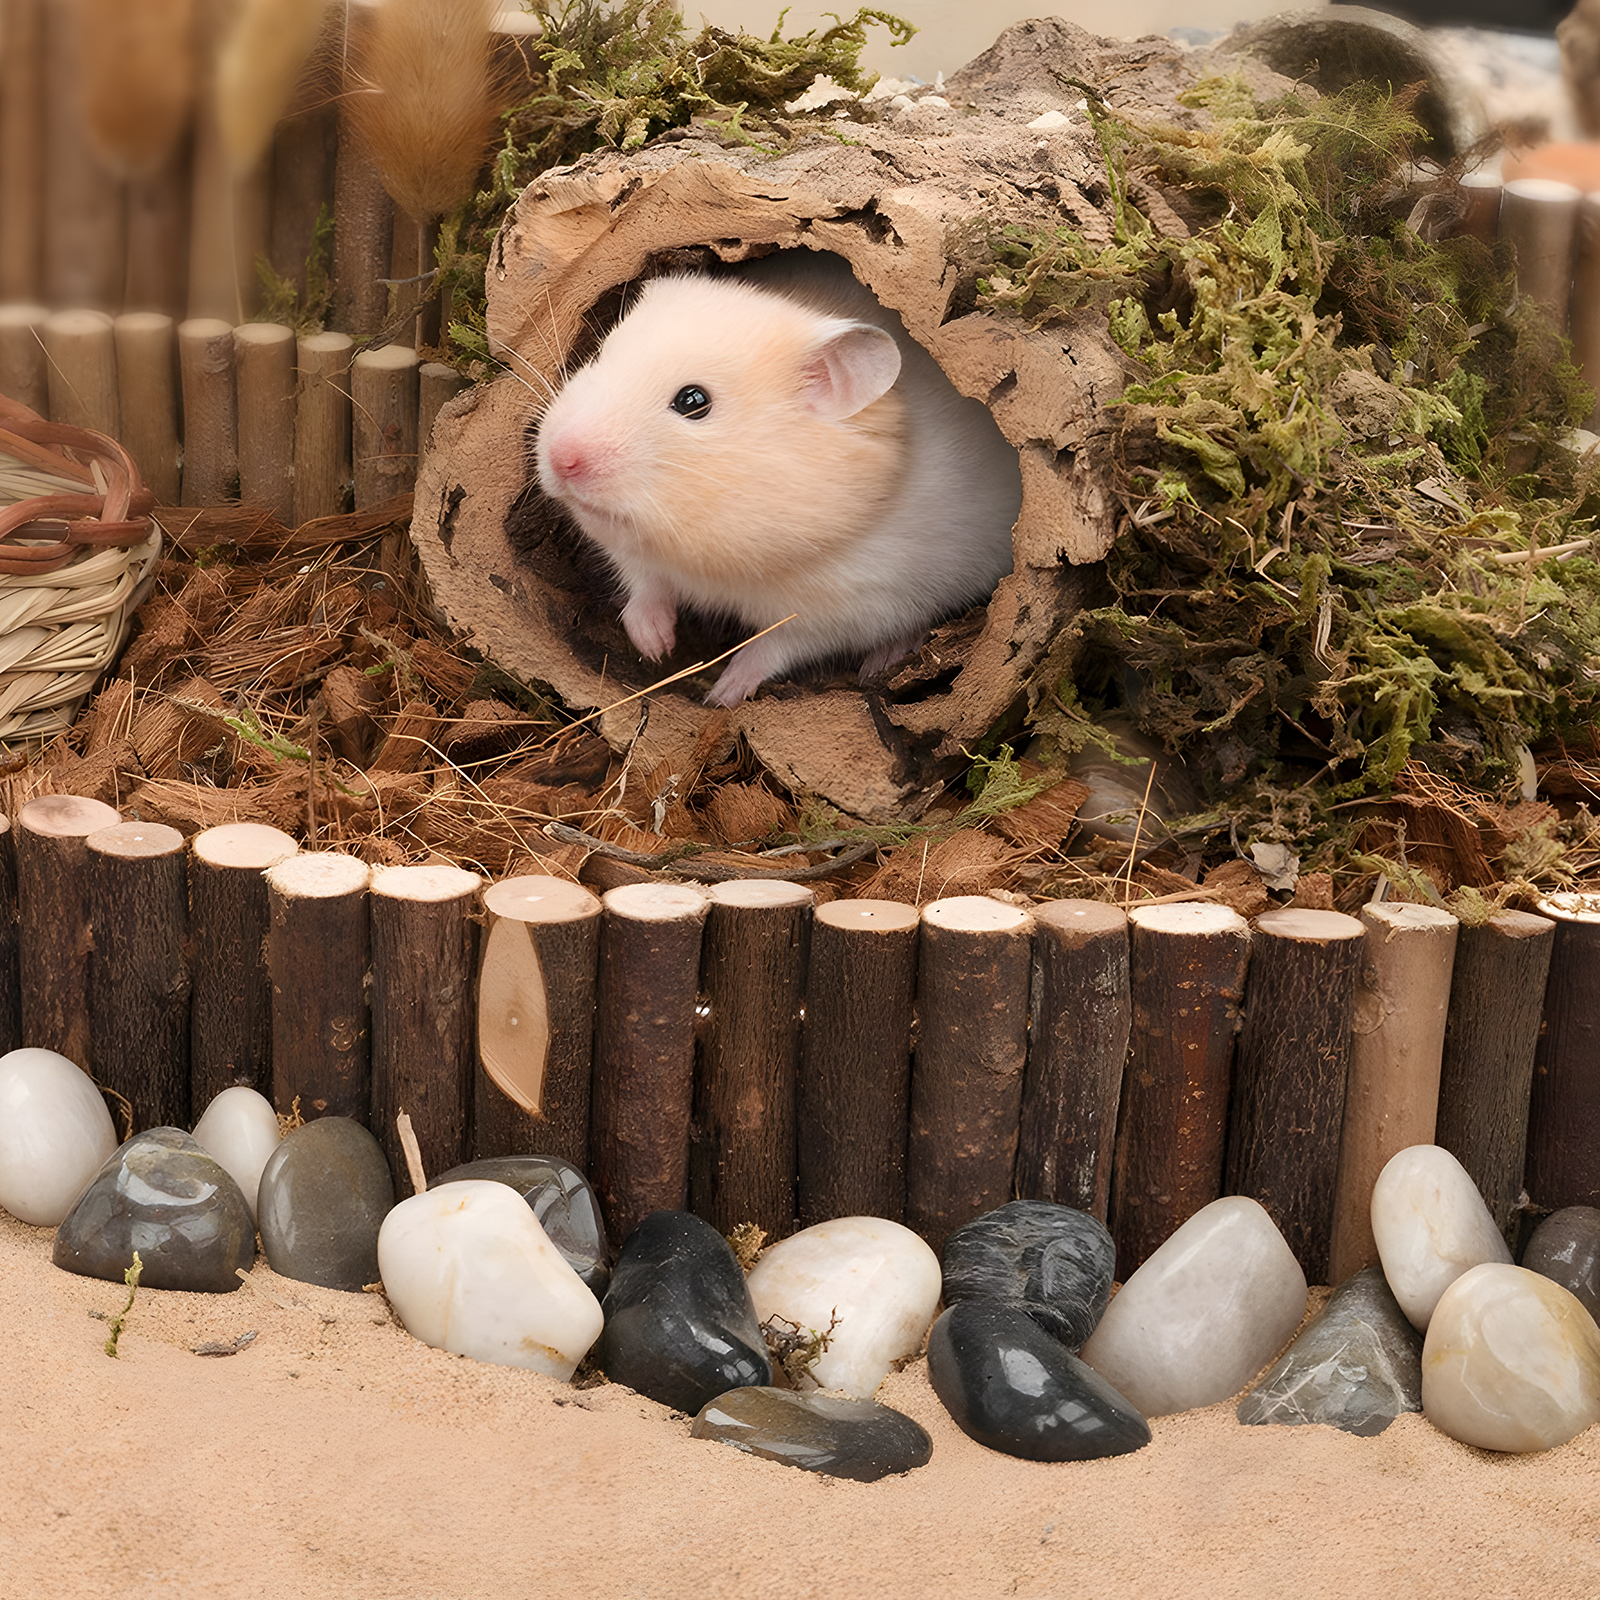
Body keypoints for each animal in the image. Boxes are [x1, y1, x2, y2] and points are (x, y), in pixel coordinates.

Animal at [533, 250, 1022, 707]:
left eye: (693, 401)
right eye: (599, 355)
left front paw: (722, 694)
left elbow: (774, 646)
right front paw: (655, 646)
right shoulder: (634, 553)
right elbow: (644, 584)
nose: (561, 459)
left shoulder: (847, 611)